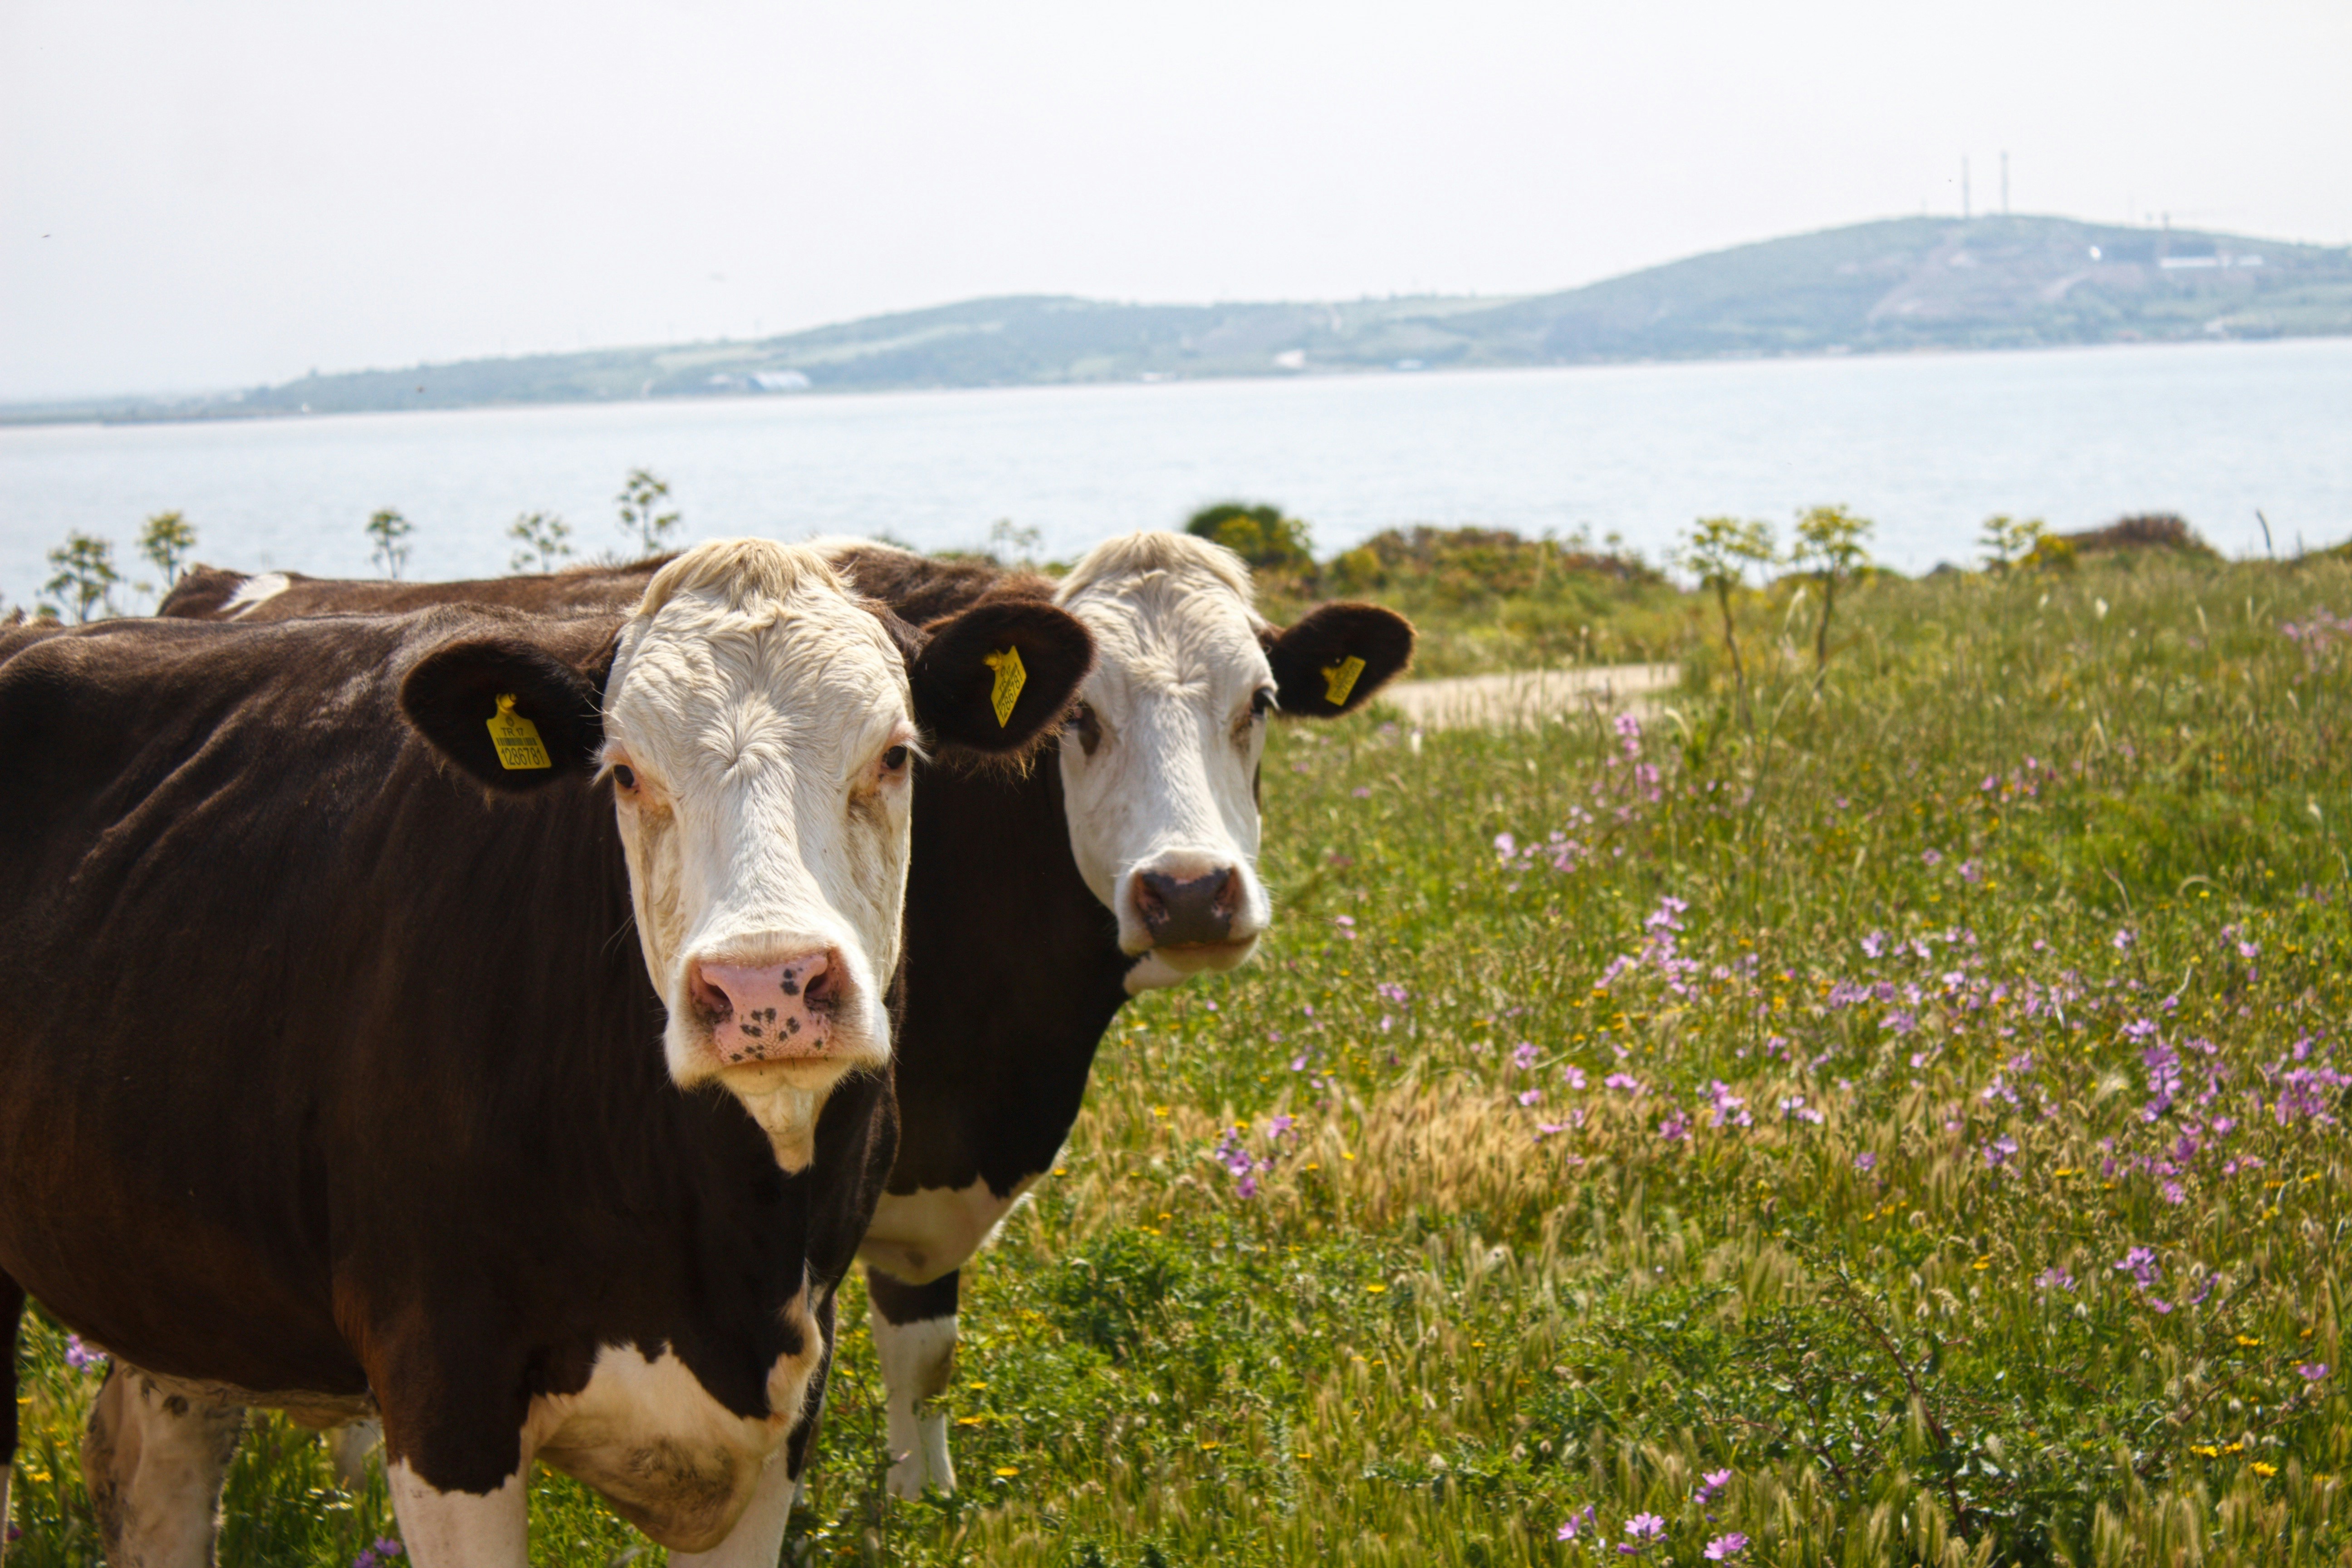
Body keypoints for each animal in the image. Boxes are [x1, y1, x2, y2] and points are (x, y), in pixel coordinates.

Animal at [0, 538, 1094, 1565]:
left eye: (896, 755)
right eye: (624, 772)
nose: (766, 987)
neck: (723, 1241)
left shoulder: (791, 1392)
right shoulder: (441, 1387)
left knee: (156, 1469)